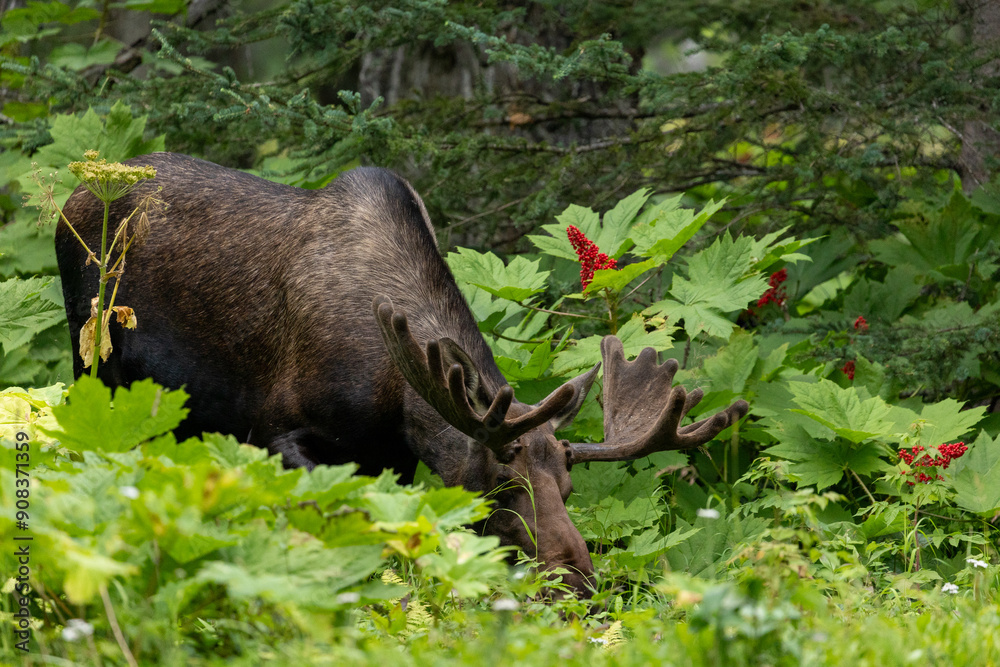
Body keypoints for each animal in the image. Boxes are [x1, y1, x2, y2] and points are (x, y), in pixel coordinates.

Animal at [56, 152, 749, 596]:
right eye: (503, 483)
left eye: (569, 488)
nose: (576, 580)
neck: (393, 393)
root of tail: (78, 193)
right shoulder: (279, 431)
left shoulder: (390, 457)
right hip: (93, 356)